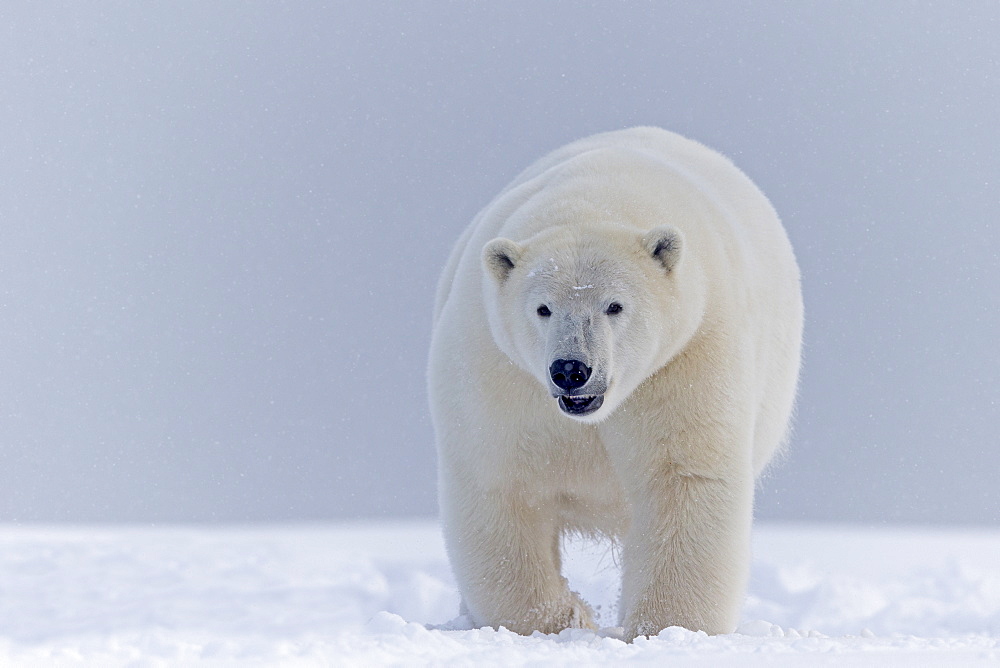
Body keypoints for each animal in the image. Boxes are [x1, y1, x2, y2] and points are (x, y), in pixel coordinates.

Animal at [430, 126, 804, 640]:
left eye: (615, 305)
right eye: (543, 308)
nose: (571, 370)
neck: (595, 198)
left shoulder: (687, 355)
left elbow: (682, 475)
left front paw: (664, 629)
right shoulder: (496, 368)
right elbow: (500, 480)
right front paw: (560, 620)